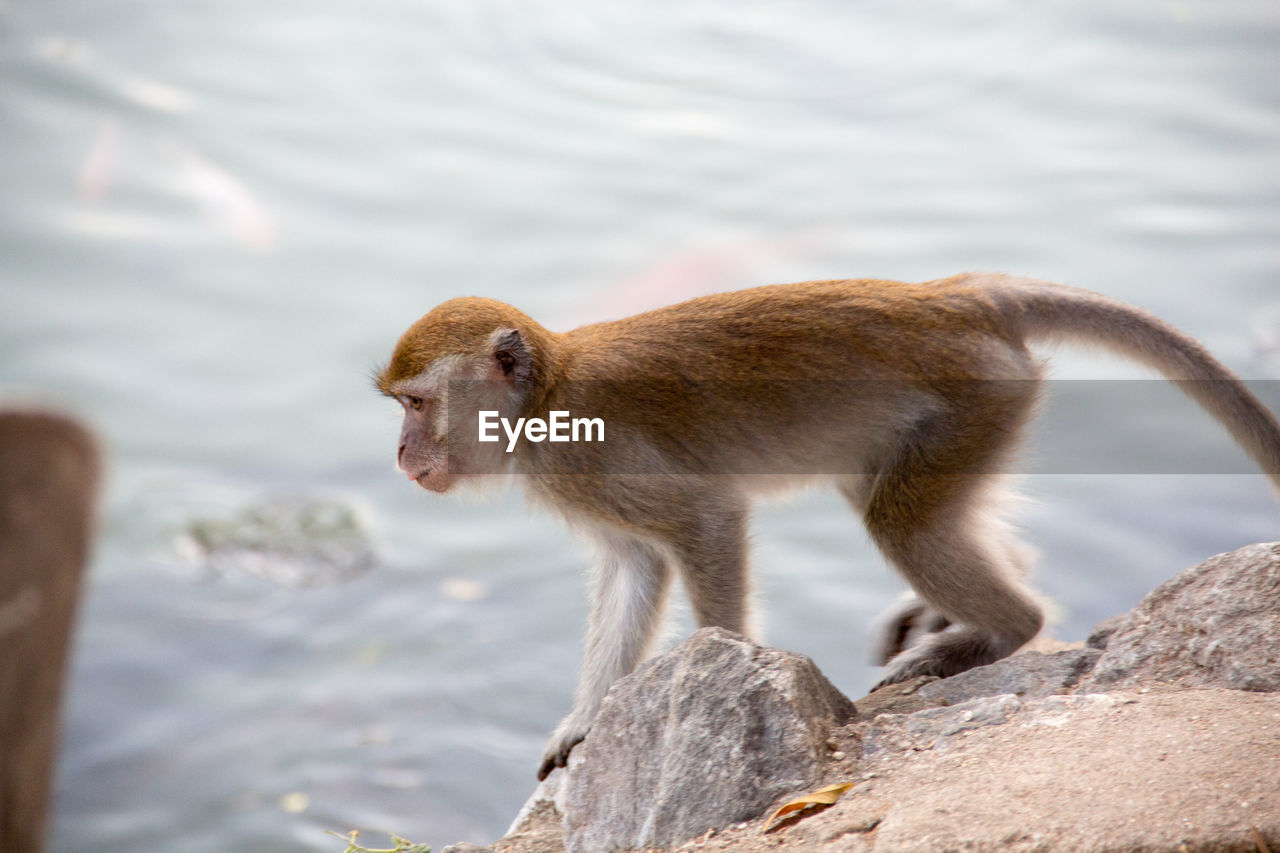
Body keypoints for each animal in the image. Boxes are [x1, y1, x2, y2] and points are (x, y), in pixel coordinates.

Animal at [373, 272, 1280, 778]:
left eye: (416, 403)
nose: (402, 454)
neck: (546, 398)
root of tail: (962, 294)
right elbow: (636, 568)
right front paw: (588, 717)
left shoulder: (598, 459)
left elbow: (705, 521)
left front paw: (718, 686)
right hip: (981, 412)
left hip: (971, 399)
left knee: (902, 523)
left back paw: (996, 629)